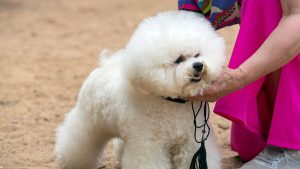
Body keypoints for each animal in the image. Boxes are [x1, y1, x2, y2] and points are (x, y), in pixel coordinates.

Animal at [55, 10, 225, 169]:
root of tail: (105, 66)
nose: (199, 65)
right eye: (179, 59)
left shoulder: (190, 141)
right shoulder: (148, 143)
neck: (171, 103)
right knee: (78, 142)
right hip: (88, 122)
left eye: (197, 54)